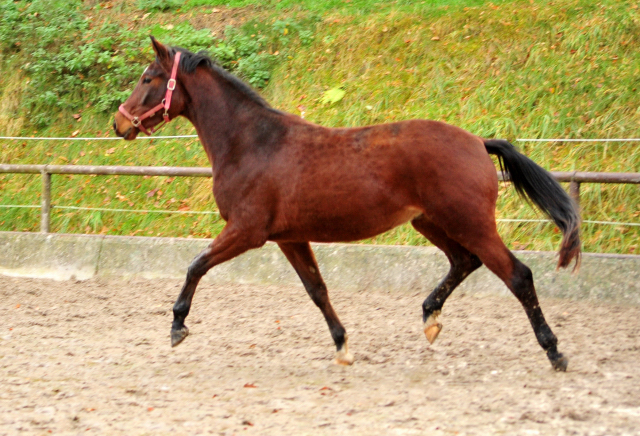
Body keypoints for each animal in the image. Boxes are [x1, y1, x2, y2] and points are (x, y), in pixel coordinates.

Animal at [114, 38, 580, 372]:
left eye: (148, 78)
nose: (119, 123)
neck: (253, 144)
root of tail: (478, 143)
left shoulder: (247, 231)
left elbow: (196, 265)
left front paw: (177, 326)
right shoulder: (289, 238)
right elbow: (317, 290)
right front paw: (343, 346)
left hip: (470, 223)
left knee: (517, 275)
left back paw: (555, 352)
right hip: (431, 223)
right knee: (465, 262)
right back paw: (430, 319)